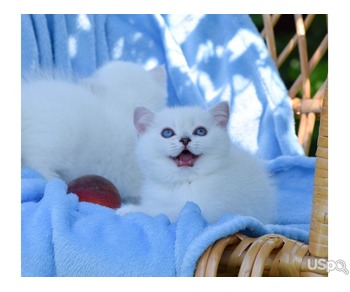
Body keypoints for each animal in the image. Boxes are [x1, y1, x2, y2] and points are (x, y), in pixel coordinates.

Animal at [117, 102, 276, 224]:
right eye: (167, 133)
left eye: (200, 131)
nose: (185, 139)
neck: (182, 183)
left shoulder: (211, 211)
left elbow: (169, 211)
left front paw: (129, 210)